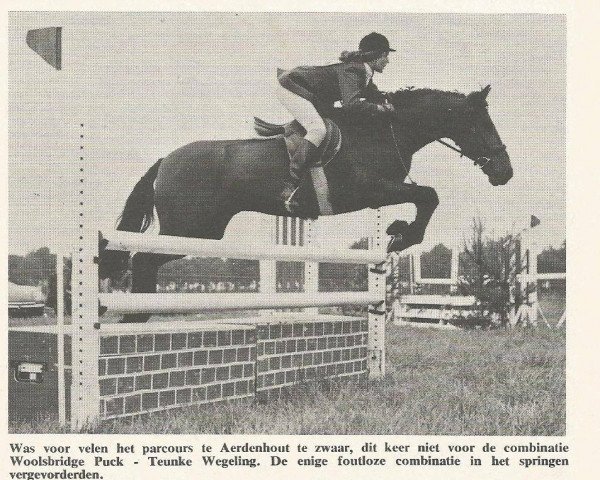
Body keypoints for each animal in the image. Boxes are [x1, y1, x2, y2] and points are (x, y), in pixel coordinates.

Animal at [101, 84, 512, 322]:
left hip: (203, 231)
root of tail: (165, 160)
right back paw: (135, 320)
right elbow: (427, 195)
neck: (384, 131)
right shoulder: (371, 190)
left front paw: (395, 232)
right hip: (191, 228)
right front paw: (401, 235)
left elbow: (426, 196)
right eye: (481, 123)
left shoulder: (381, 192)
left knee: (144, 262)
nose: (505, 173)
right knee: (142, 260)